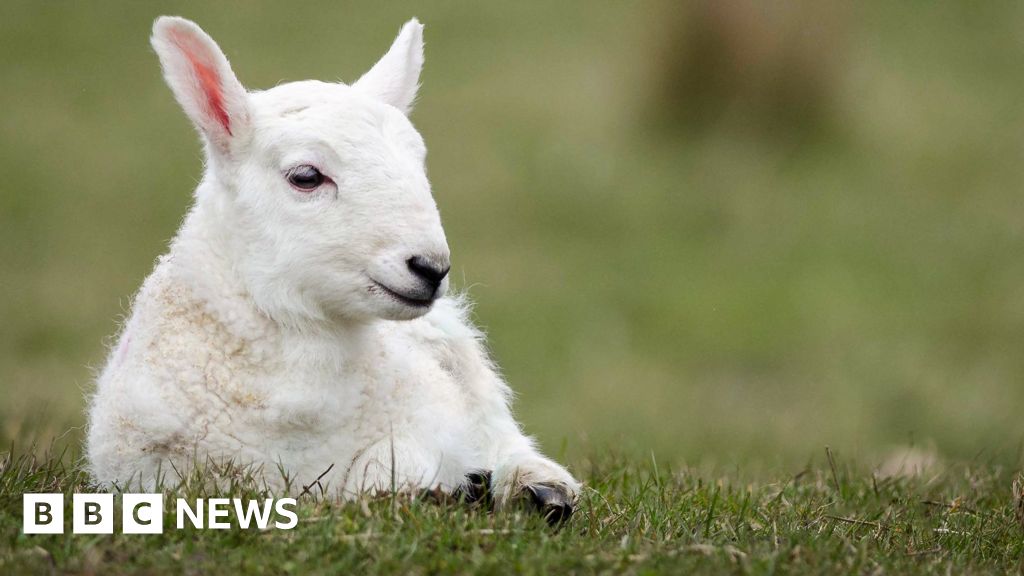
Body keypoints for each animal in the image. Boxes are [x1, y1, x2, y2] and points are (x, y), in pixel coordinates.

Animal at [83, 16, 581, 520]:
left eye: (418, 162)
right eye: (306, 177)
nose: (431, 267)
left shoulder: (433, 414)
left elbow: (386, 463)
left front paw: (445, 487)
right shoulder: (151, 475)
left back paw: (538, 487)